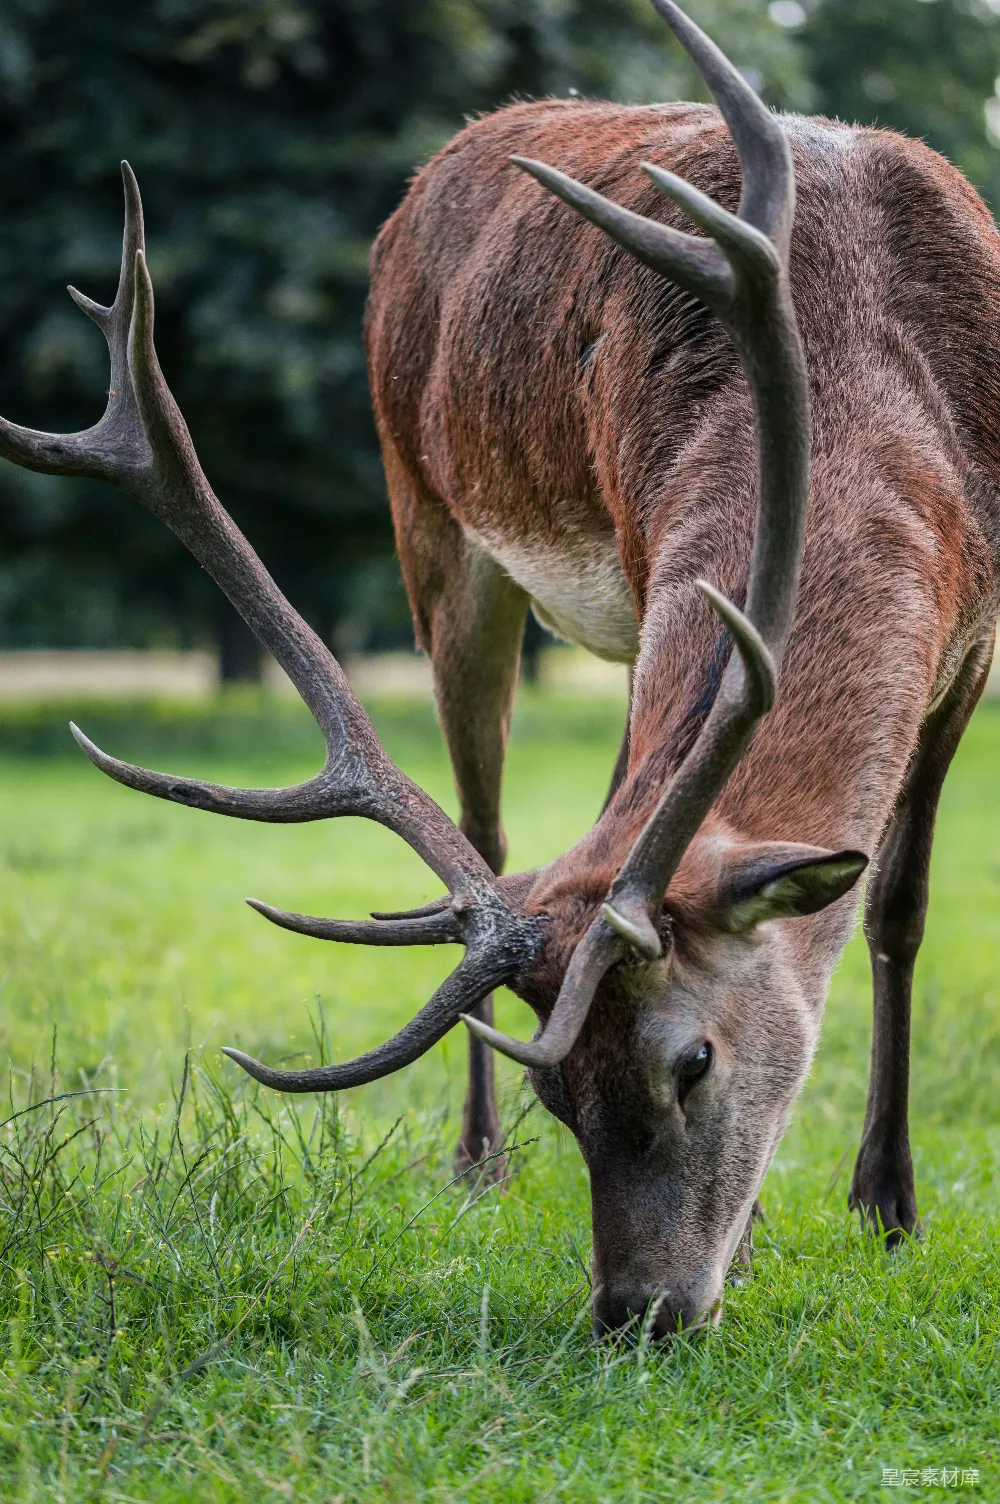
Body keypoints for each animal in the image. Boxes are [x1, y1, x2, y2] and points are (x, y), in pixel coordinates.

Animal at [3, 0, 1000, 1340]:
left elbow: (897, 905)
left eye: (692, 1059)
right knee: (487, 816)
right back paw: (471, 1161)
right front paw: (756, 1239)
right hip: (432, 520)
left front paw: (886, 1207)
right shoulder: (637, 547)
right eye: (558, 1099)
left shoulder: (974, 639)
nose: (638, 1307)